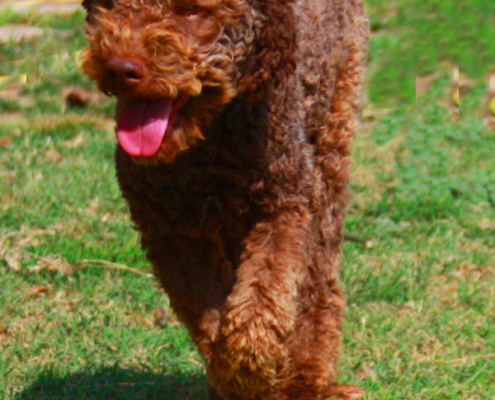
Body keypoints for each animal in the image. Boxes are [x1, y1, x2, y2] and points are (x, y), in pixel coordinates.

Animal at [81, 0, 368, 396]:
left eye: (191, 13)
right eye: (108, 6)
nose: (121, 68)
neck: (209, 140)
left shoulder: (286, 204)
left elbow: (262, 299)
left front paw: (254, 367)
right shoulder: (169, 228)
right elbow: (205, 313)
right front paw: (236, 377)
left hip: (330, 138)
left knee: (317, 279)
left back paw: (308, 377)